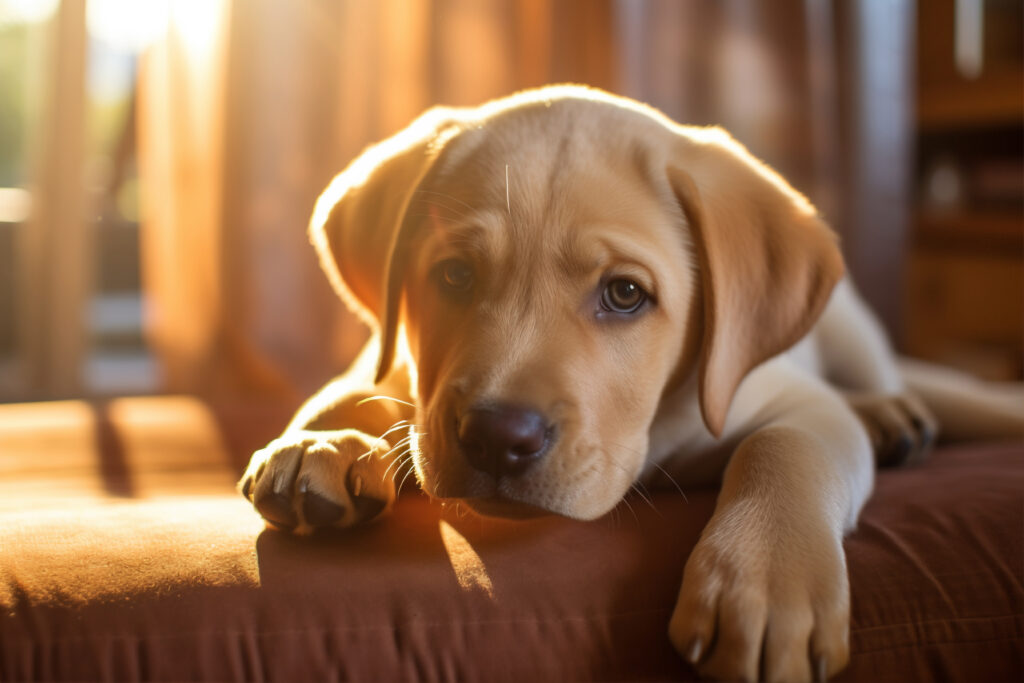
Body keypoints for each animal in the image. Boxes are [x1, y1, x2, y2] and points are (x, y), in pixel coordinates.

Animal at [241, 87, 1024, 683]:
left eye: (624, 295)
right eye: (455, 275)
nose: (496, 436)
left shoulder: (796, 403)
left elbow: (782, 450)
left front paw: (764, 583)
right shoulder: (394, 363)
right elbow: (347, 391)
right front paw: (320, 445)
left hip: (851, 331)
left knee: (882, 383)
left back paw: (890, 412)